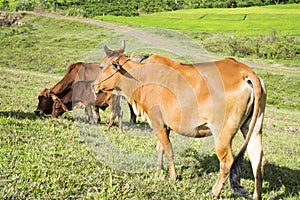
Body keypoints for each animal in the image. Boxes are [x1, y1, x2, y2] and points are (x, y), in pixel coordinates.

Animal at [94, 41, 268, 199]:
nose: (94, 85)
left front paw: (173, 176)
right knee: (258, 160)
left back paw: (214, 192)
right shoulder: (164, 125)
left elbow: (168, 149)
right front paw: (159, 169)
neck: (142, 77)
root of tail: (245, 71)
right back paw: (256, 195)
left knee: (227, 162)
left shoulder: (157, 122)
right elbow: (160, 148)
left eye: (102, 67)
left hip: (222, 132)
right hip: (252, 127)